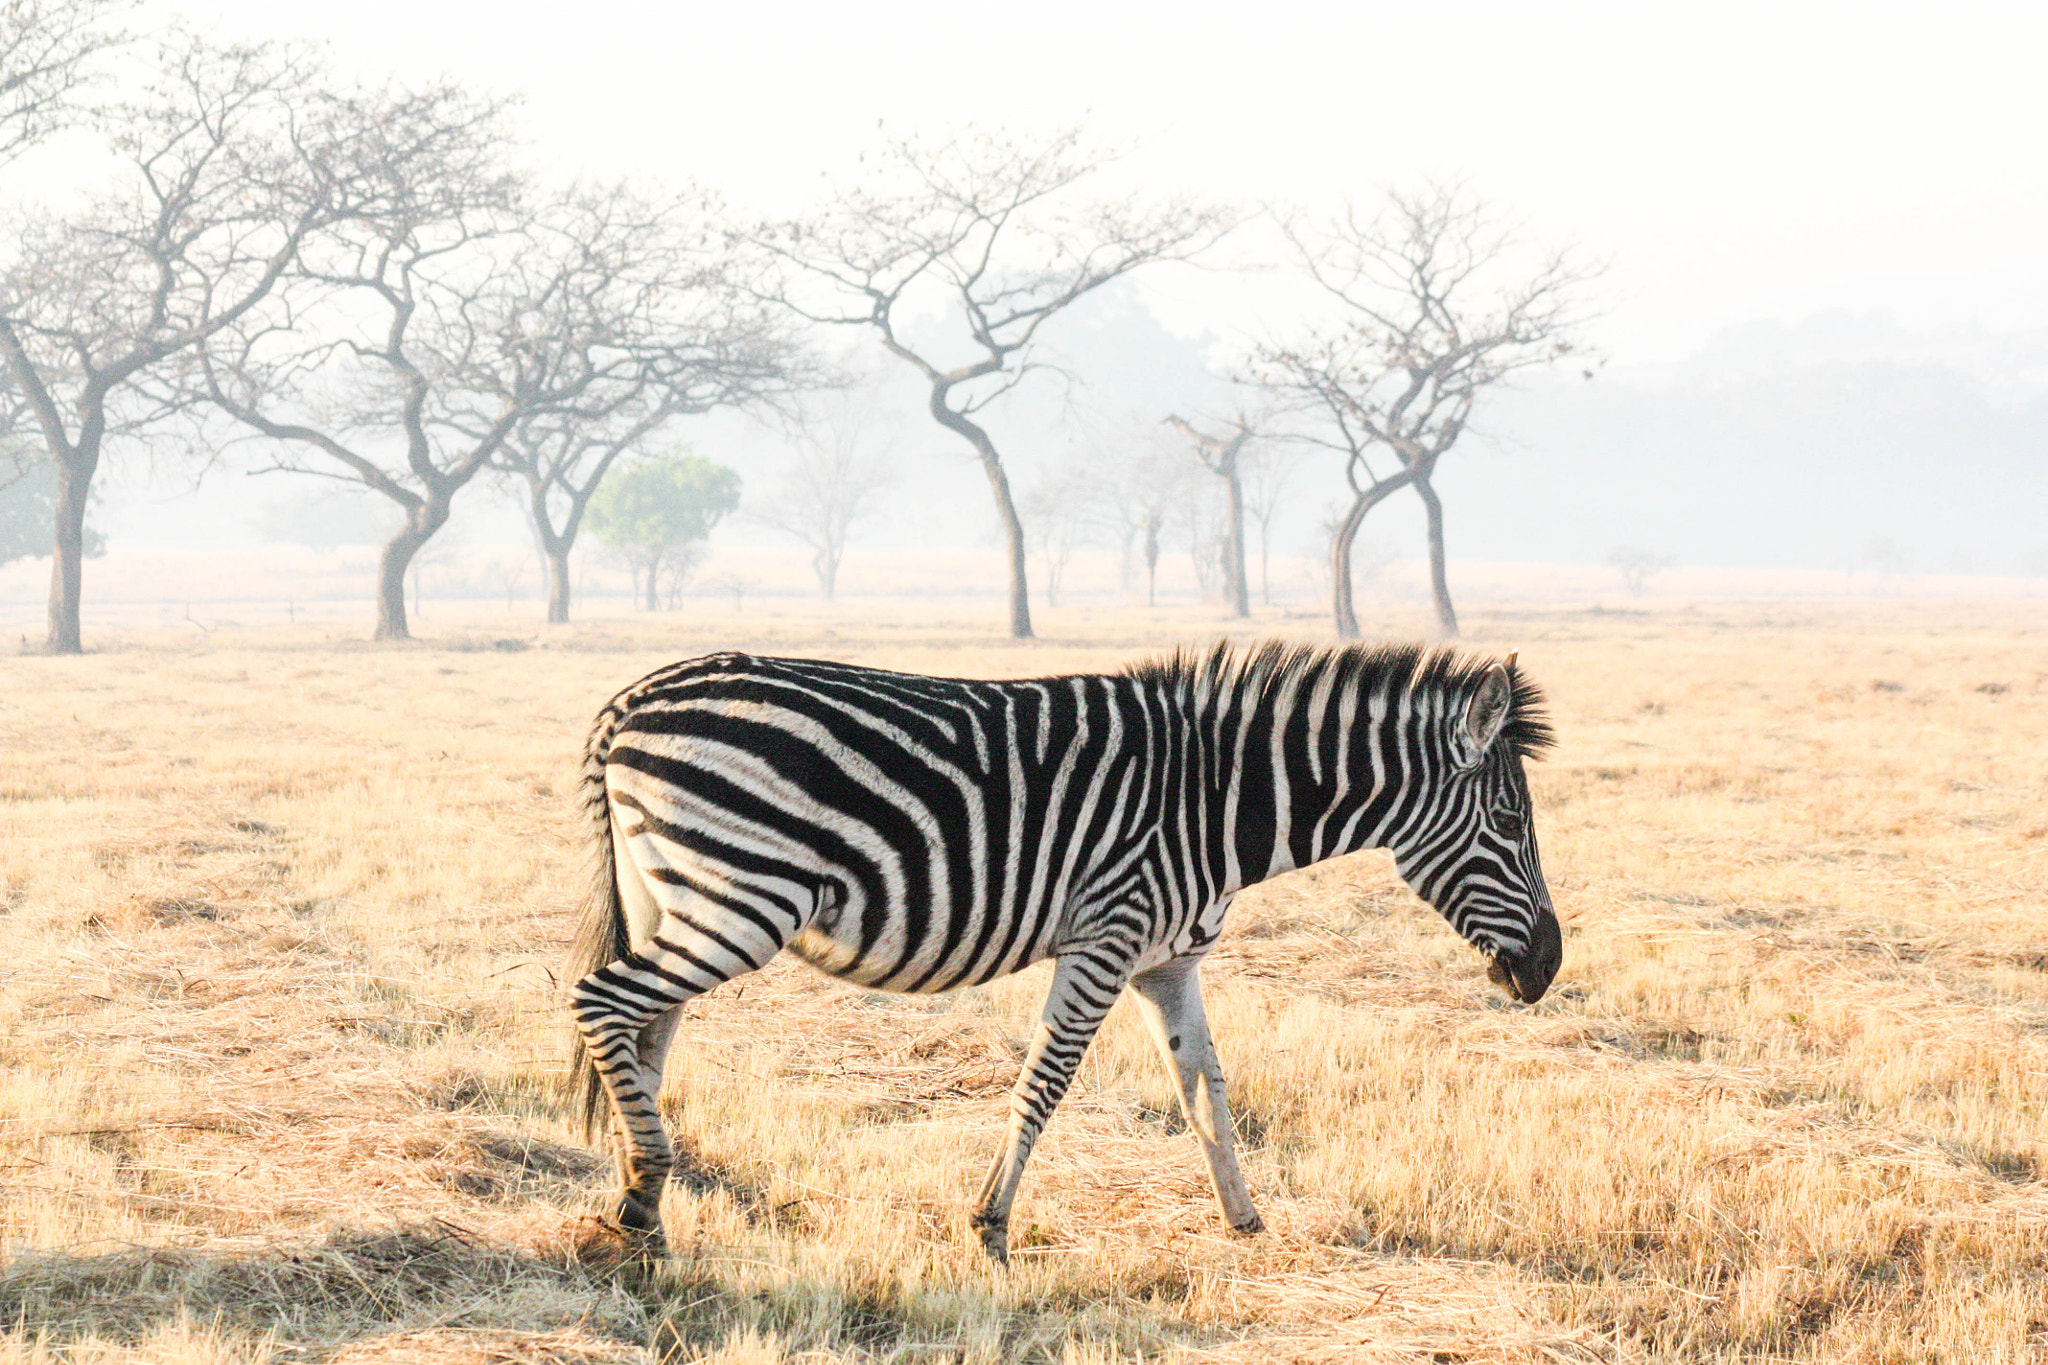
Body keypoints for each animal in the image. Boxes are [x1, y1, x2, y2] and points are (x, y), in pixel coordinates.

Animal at [567, 640, 1561, 1263]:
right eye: (1510, 824)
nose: (1547, 969)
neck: (1217, 799)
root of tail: (631, 699)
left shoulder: (1168, 961)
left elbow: (1206, 1089)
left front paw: (1247, 1224)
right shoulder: (1106, 937)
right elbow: (1043, 1083)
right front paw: (990, 1226)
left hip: (675, 895)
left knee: (647, 1026)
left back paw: (643, 1202)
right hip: (745, 896)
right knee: (599, 1001)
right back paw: (644, 1195)